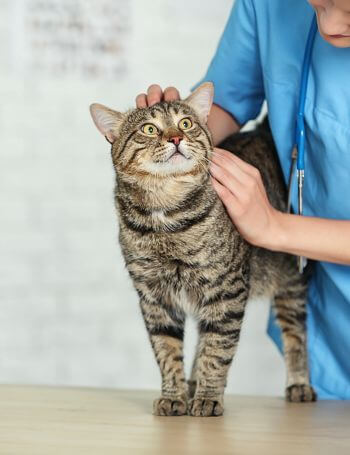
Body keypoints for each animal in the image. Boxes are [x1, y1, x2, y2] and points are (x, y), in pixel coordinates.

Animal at [88, 82, 318, 416]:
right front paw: (174, 395)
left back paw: (298, 384)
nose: (175, 138)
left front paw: (209, 397)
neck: (166, 214)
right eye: (149, 129)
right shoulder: (154, 298)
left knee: (295, 333)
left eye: (185, 123)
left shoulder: (226, 290)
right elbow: (167, 351)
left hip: (291, 281)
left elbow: (217, 349)